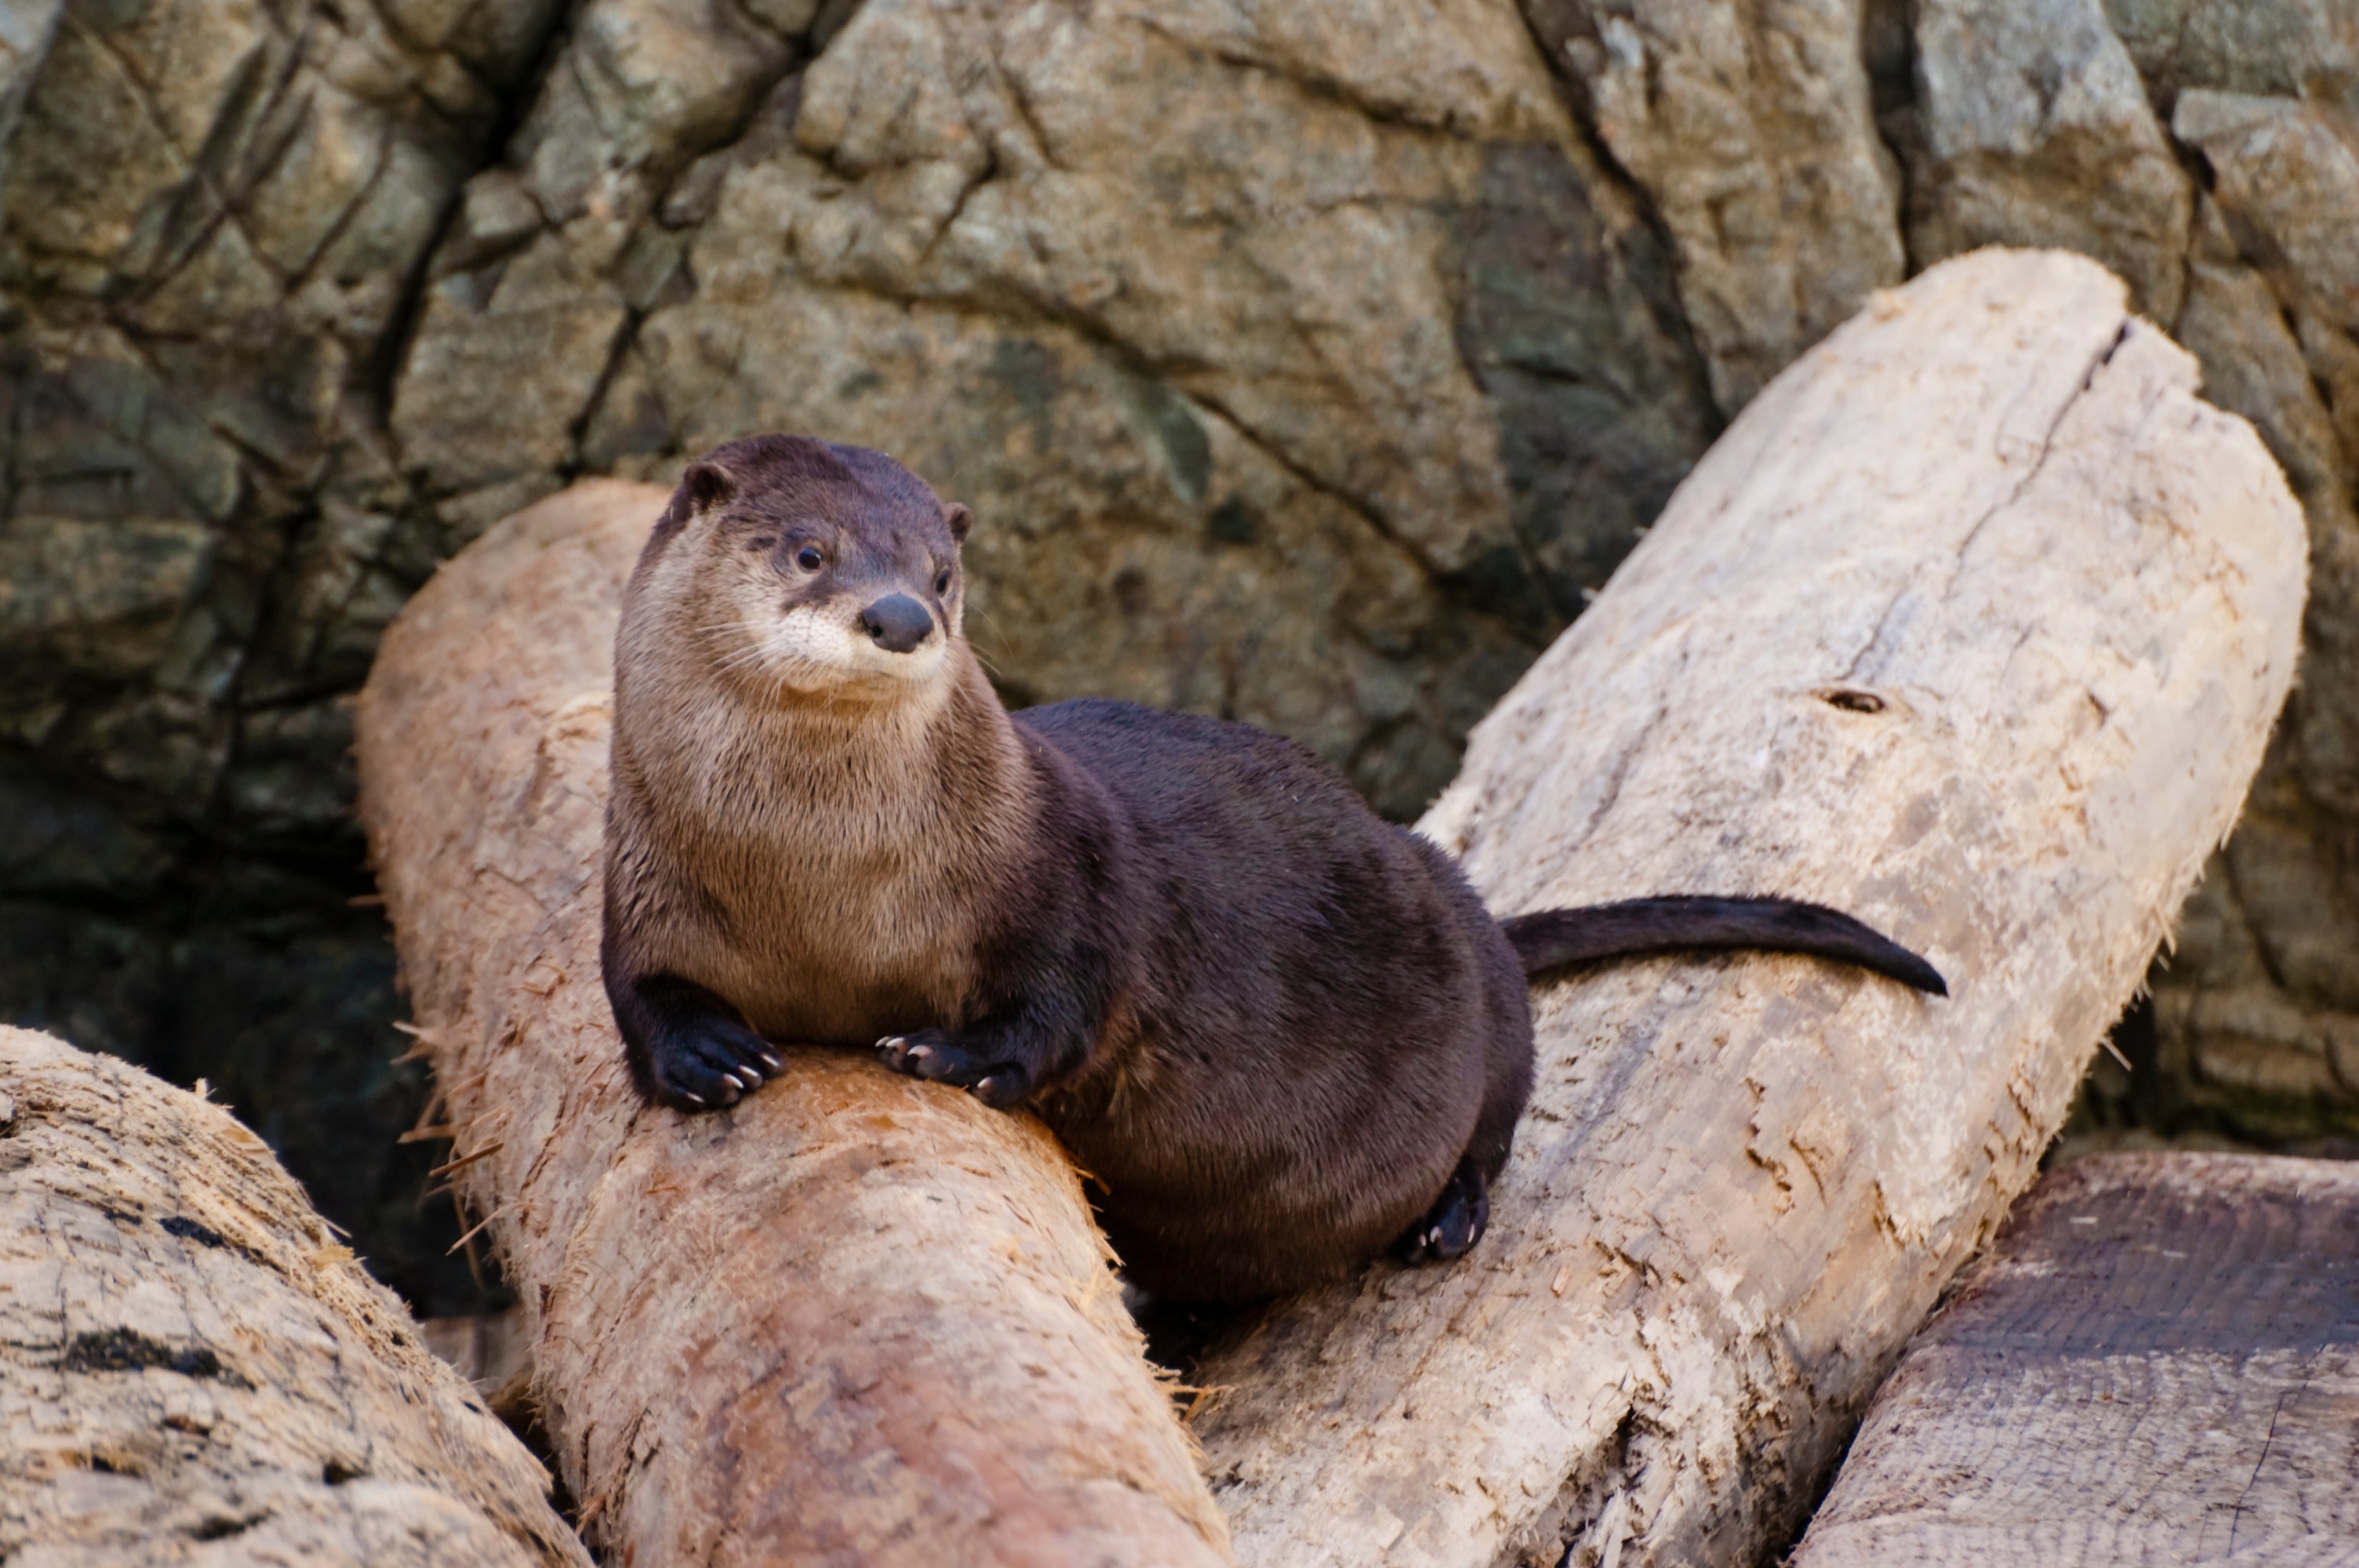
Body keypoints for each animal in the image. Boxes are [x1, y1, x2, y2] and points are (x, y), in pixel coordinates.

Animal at [602, 434, 1945, 1302]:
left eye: (942, 569)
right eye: (809, 550)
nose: (900, 616)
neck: (823, 882)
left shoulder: (1064, 874)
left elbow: (1068, 995)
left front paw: (953, 1055)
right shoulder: (643, 875)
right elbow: (631, 988)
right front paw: (710, 1056)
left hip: (1477, 975)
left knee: (1502, 1115)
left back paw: (1446, 1217)